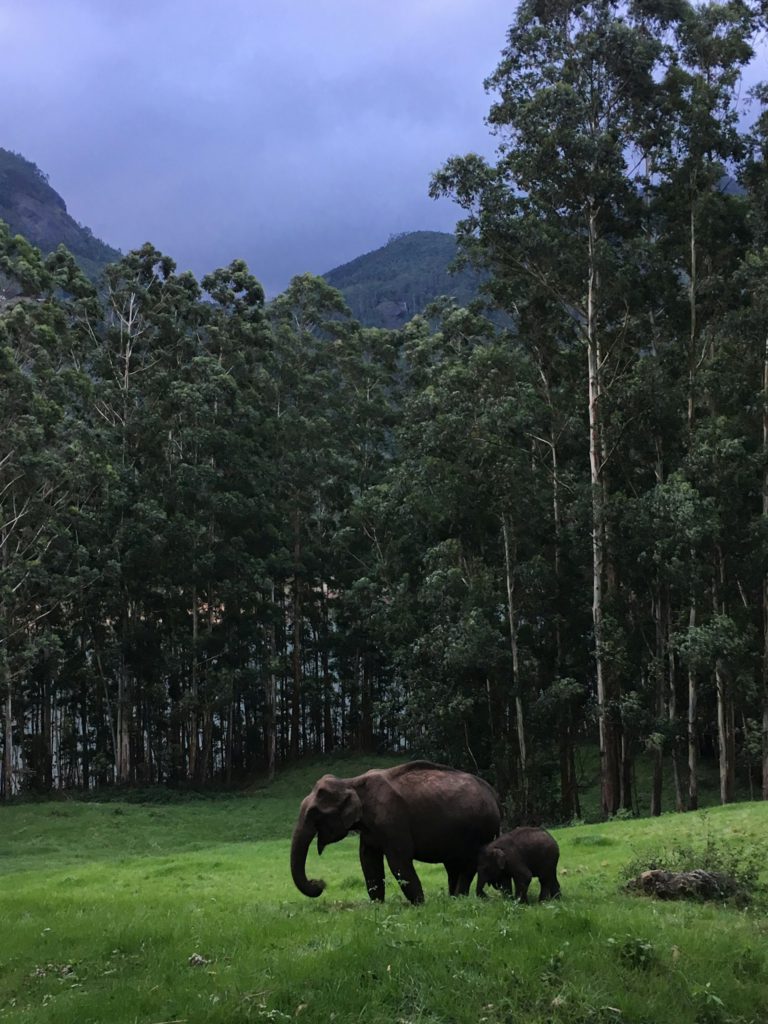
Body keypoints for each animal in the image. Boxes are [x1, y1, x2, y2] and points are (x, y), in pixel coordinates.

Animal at [290, 760, 501, 904]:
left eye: (314, 813)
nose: (319, 883)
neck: (352, 782)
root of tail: (493, 793)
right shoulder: (370, 829)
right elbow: (368, 861)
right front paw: (377, 905)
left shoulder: (392, 820)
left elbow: (399, 861)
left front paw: (420, 905)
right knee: (453, 865)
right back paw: (453, 899)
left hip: (481, 830)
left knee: (469, 864)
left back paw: (459, 898)